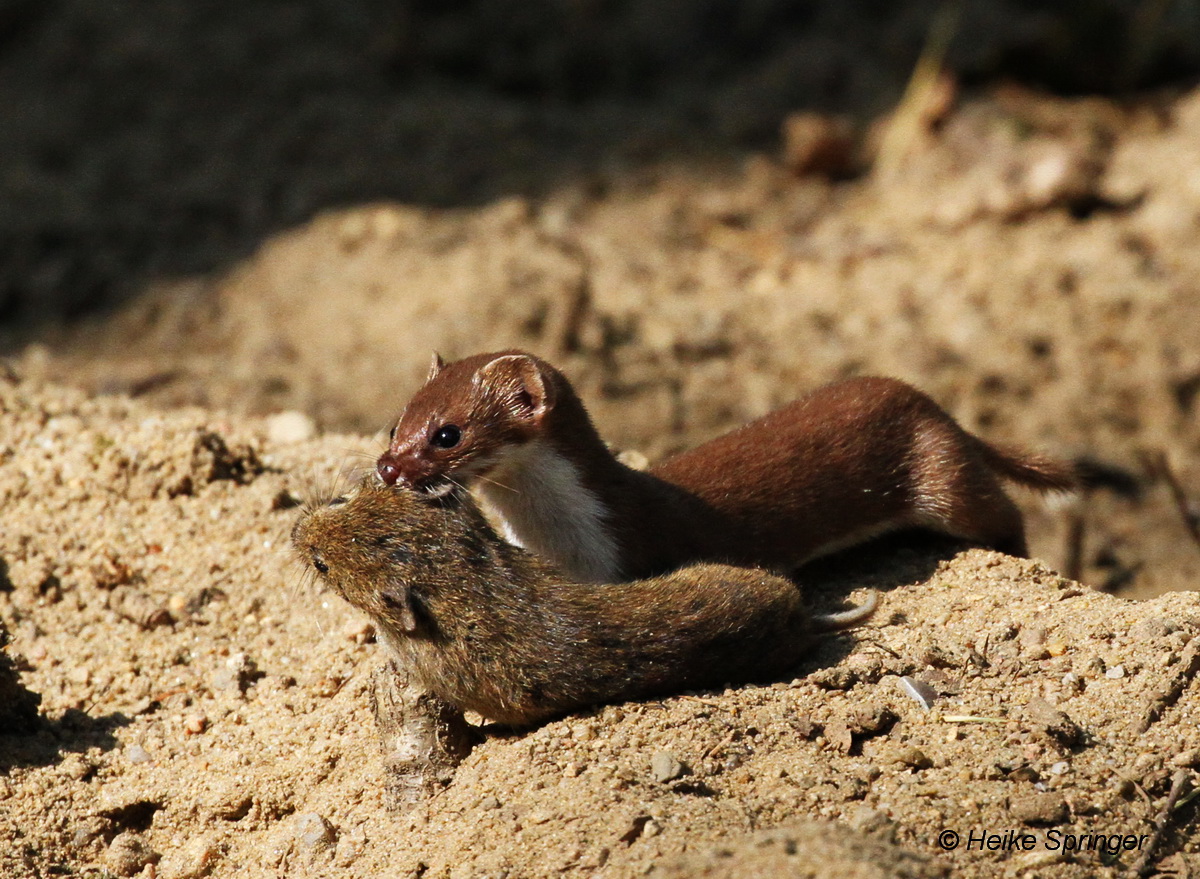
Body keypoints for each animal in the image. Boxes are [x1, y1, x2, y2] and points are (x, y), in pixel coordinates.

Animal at [376, 350, 1080, 583]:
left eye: (447, 434)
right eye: (397, 421)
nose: (388, 467)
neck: (551, 533)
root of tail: (931, 403)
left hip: (943, 478)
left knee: (1000, 513)